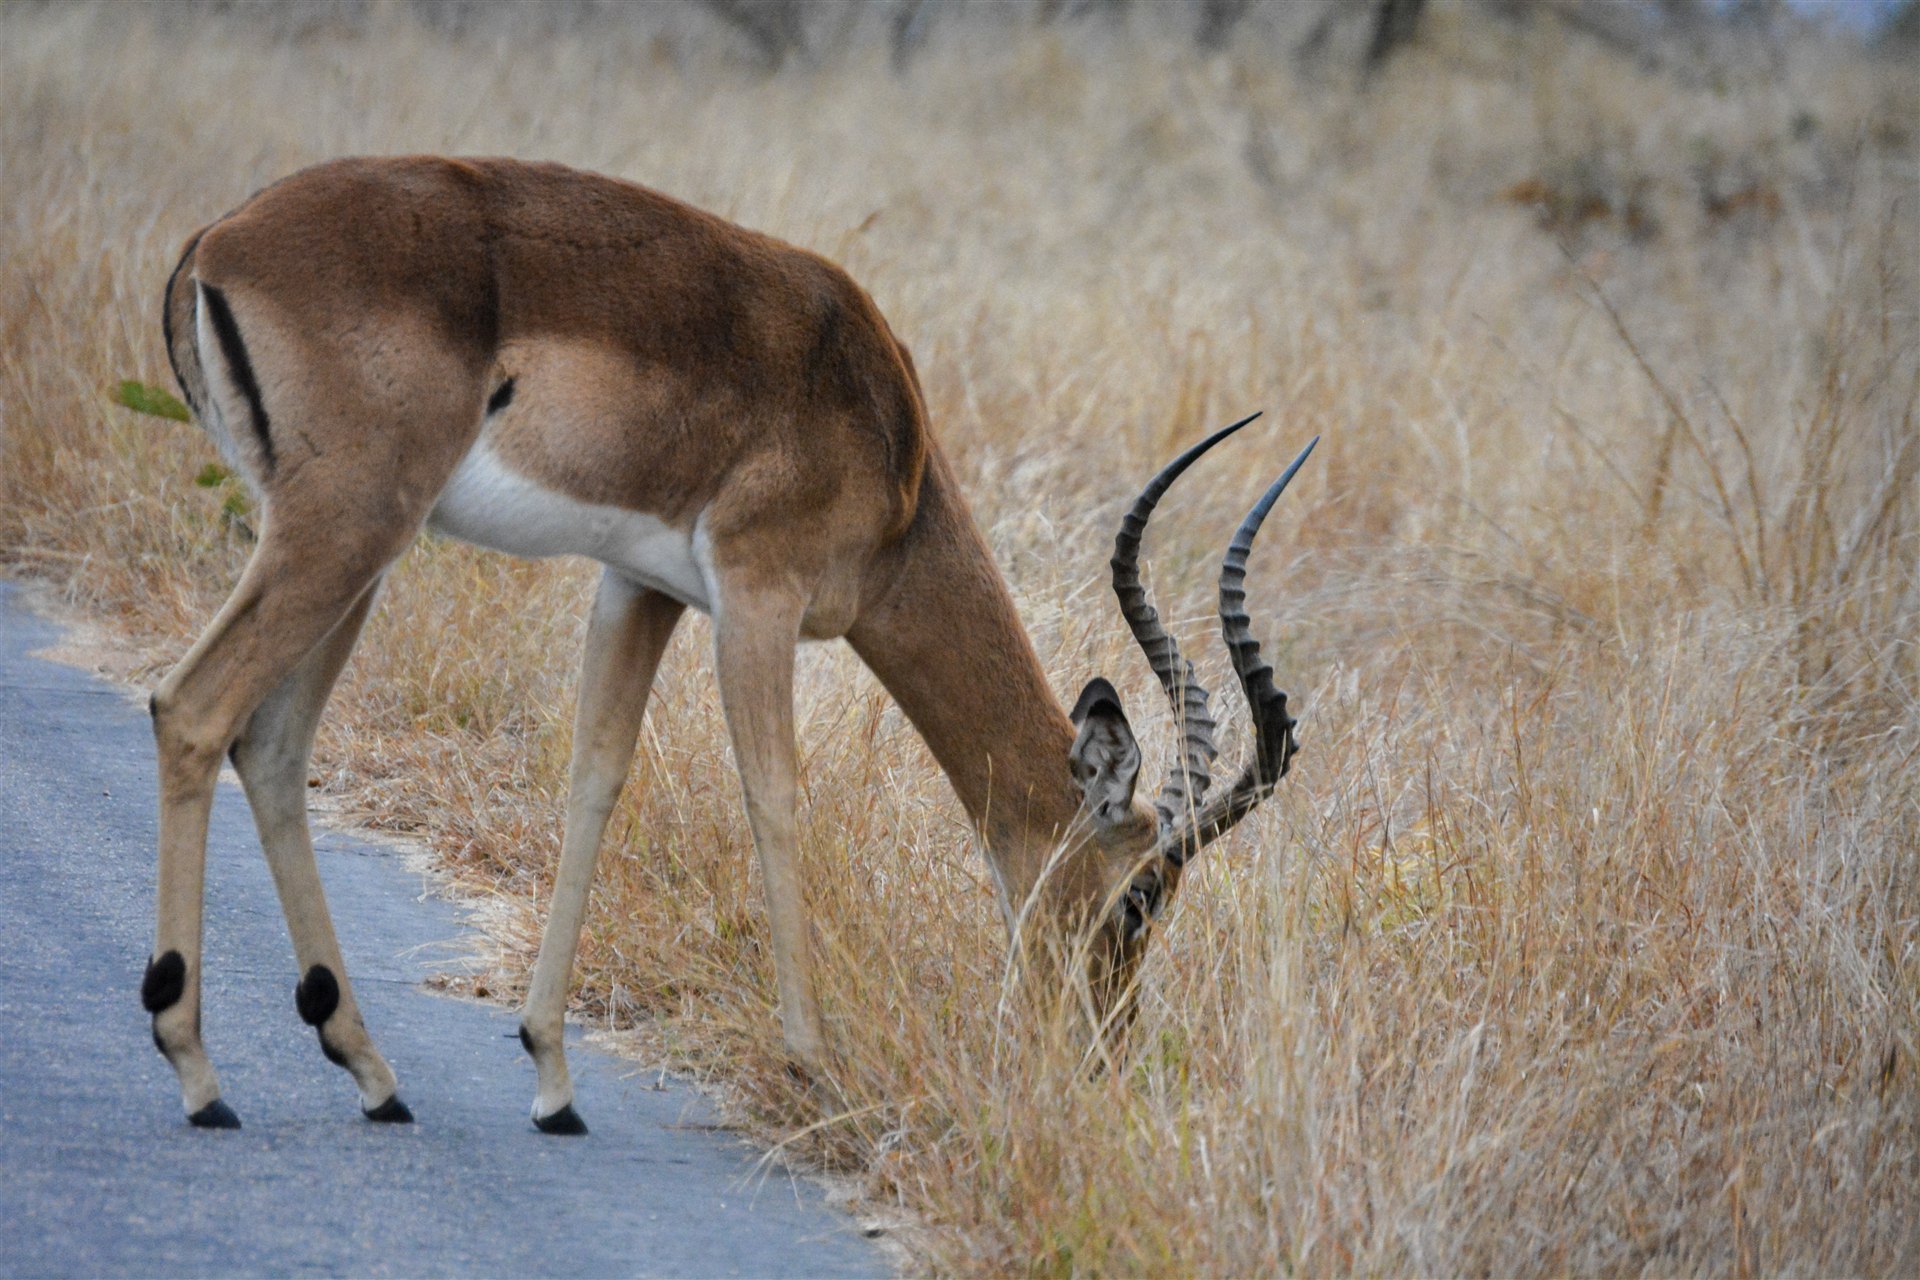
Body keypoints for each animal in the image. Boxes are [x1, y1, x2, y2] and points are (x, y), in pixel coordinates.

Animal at [142, 156, 1313, 1133]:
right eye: (1141, 895)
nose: (1101, 1051)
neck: (894, 450)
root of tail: (217, 240)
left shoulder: (642, 586)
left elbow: (596, 777)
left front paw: (552, 1076)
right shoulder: (757, 595)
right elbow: (776, 797)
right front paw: (815, 1066)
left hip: (355, 552)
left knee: (272, 744)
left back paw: (373, 1072)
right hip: (347, 530)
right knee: (192, 708)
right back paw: (198, 1071)